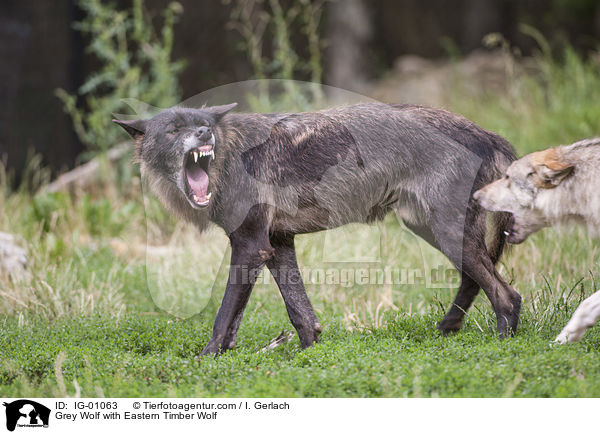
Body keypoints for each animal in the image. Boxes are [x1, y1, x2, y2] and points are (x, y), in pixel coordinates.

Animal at [113, 102, 520, 356]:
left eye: (205, 126)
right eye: (173, 129)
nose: (202, 133)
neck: (229, 156)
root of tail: (487, 133)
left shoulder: (249, 246)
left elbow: (224, 317)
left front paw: (208, 357)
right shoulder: (276, 245)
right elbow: (300, 314)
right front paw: (309, 356)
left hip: (445, 234)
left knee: (507, 294)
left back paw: (503, 347)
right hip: (434, 231)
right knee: (476, 281)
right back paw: (446, 330)